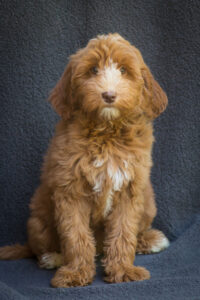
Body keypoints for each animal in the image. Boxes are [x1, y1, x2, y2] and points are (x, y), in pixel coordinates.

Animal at [0, 34, 169, 288]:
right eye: (93, 70)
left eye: (123, 70)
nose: (108, 95)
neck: (106, 132)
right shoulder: (70, 190)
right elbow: (75, 234)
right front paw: (76, 272)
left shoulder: (131, 188)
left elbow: (124, 231)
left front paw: (122, 270)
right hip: (38, 216)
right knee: (40, 248)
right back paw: (53, 257)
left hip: (148, 201)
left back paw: (149, 240)